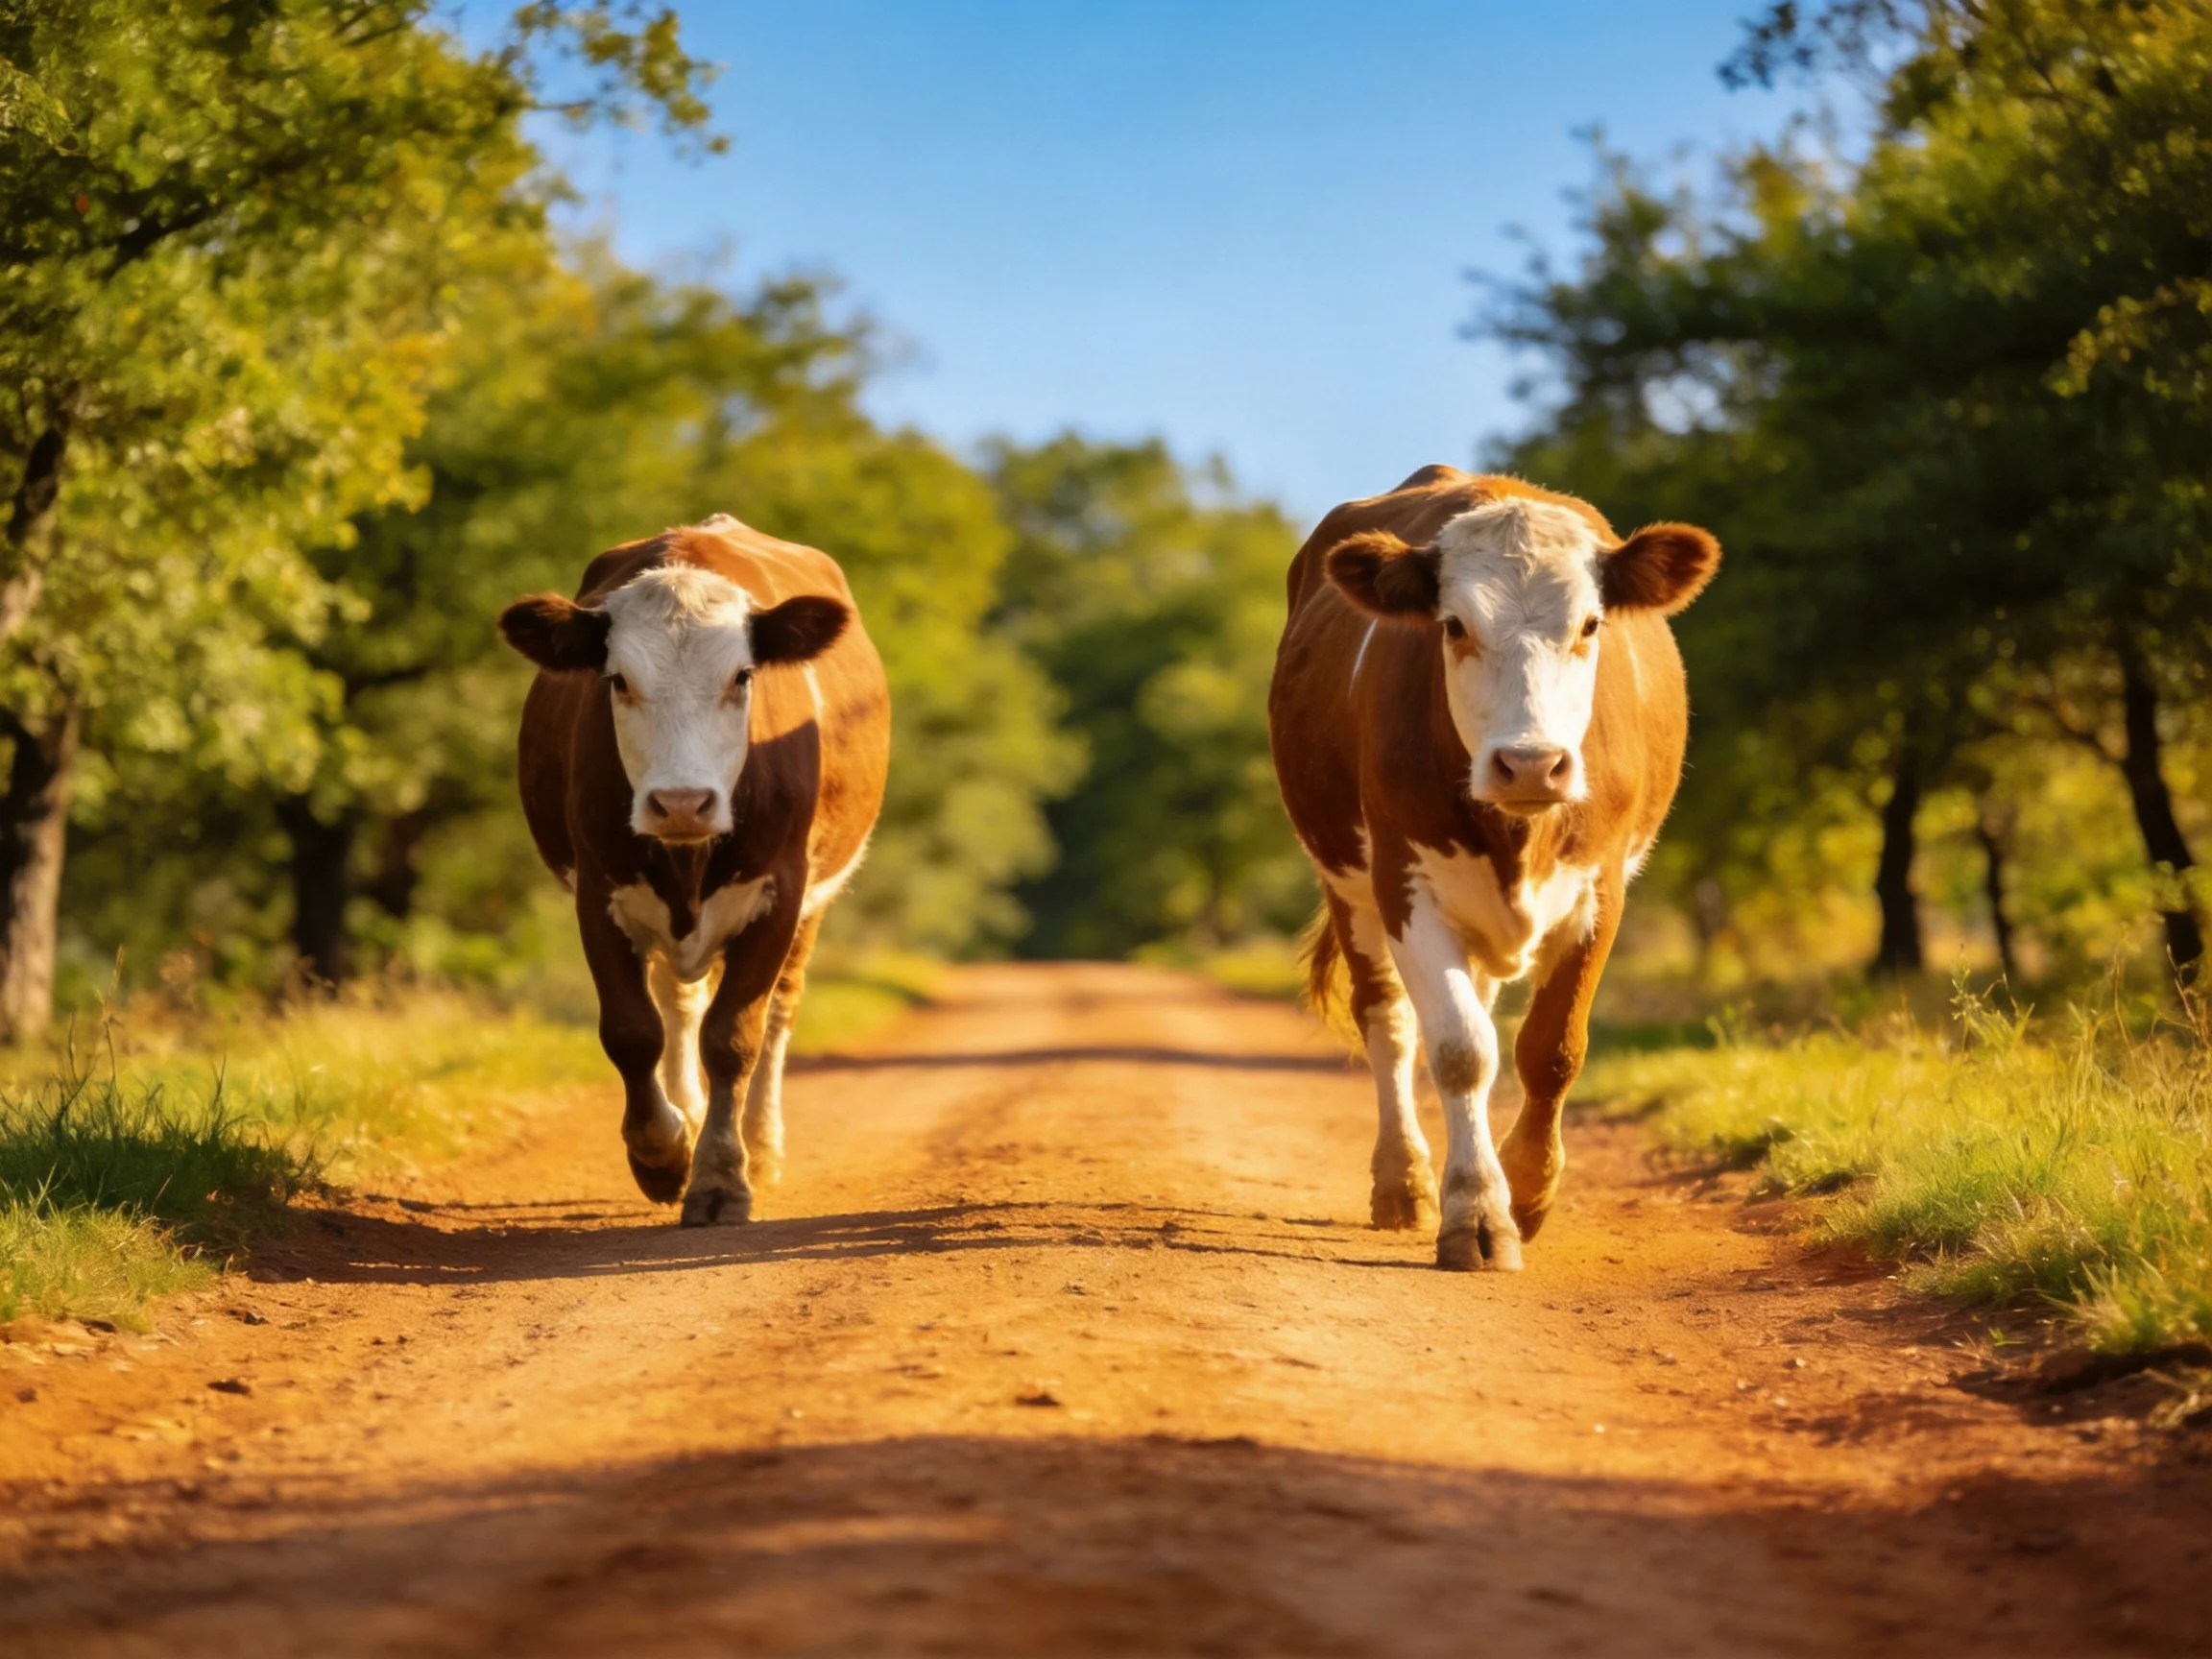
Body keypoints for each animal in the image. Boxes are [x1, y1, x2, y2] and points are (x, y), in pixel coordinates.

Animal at [498, 514, 889, 1227]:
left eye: (742, 677)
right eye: (618, 680)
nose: (681, 802)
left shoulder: (780, 893)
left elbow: (734, 1036)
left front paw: (721, 1177)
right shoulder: (598, 890)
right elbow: (632, 1032)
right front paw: (661, 1153)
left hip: (815, 902)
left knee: (780, 1011)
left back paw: (762, 1145)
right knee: (679, 1003)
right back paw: (688, 1109)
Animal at [1268, 467, 1719, 1271]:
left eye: (1590, 625)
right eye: (1453, 626)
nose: (1531, 763)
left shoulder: (1601, 890)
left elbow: (1550, 1050)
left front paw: (1528, 1193)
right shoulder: (1404, 883)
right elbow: (1459, 1049)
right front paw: (1477, 1213)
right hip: (1348, 883)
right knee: (1389, 1023)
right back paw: (1405, 1182)